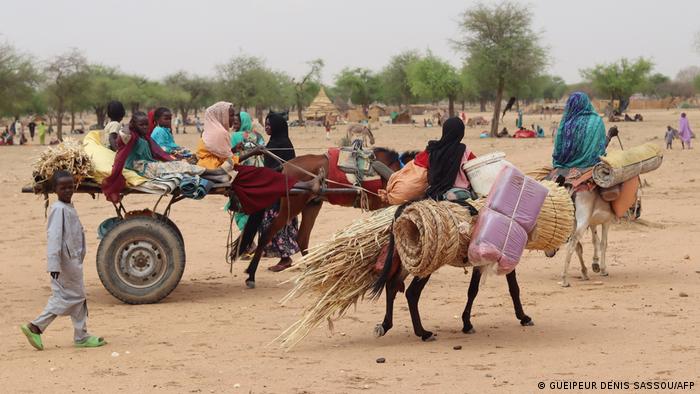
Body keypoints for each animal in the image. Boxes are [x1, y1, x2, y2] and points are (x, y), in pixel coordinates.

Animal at [238, 147, 418, 286]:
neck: (401, 170)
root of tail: (285, 166)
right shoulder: (386, 205)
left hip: (312, 204)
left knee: (302, 237)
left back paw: (312, 271)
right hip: (293, 205)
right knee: (268, 234)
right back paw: (251, 276)